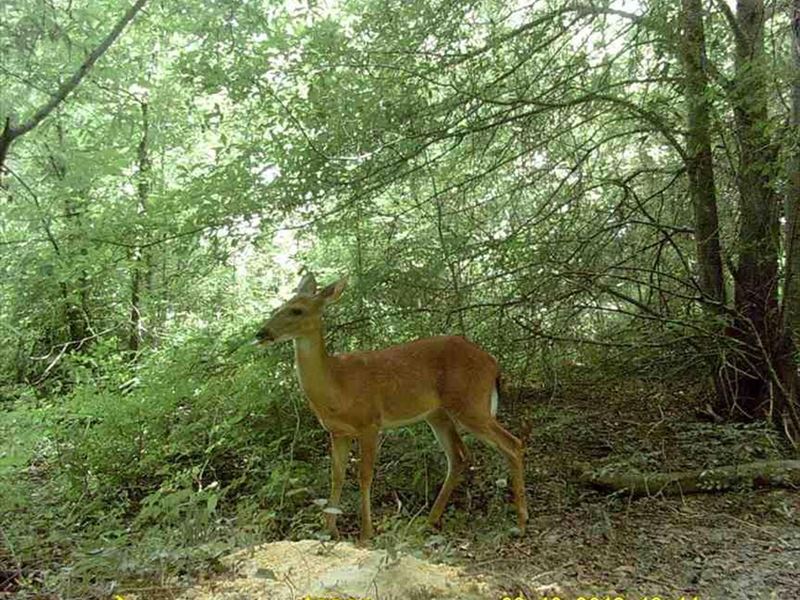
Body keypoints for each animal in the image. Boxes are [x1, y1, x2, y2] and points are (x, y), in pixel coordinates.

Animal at [256, 274, 528, 544]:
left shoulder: (370, 422)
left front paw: (366, 532)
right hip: (438, 414)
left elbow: (364, 475)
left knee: (512, 443)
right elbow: (336, 476)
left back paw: (521, 522)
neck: (336, 386)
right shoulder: (337, 431)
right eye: (279, 306)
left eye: (297, 310)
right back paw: (428, 521)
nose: (262, 333)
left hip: (471, 404)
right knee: (459, 457)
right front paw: (330, 530)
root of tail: (493, 363)